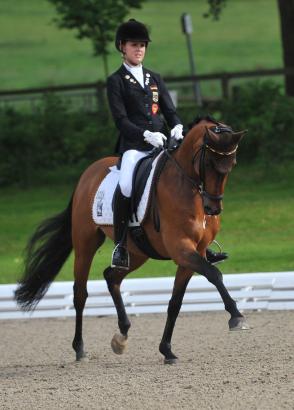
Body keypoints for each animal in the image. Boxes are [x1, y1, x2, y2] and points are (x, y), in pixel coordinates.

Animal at [13, 117, 248, 364]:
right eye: (210, 163)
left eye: (232, 164)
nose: (213, 208)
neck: (187, 188)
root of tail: (87, 174)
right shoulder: (181, 249)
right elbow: (214, 274)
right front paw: (236, 317)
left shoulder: (195, 253)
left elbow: (175, 303)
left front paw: (167, 350)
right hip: (86, 243)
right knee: (80, 293)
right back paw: (80, 349)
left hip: (136, 253)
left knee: (111, 277)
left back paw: (122, 334)